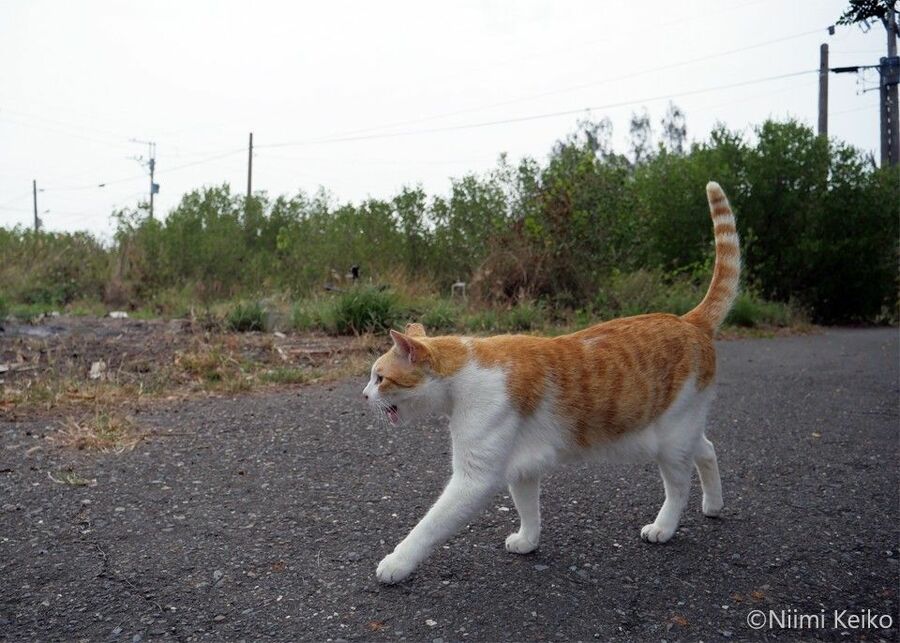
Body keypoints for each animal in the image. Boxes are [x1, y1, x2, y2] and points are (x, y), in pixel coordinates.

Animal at [363, 181, 740, 584]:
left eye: (380, 377)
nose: (364, 394)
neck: (463, 373)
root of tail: (688, 320)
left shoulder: (473, 478)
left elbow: (429, 526)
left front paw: (397, 562)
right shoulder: (522, 465)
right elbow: (528, 507)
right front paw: (528, 540)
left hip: (669, 440)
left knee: (679, 485)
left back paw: (665, 527)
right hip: (683, 431)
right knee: (707, 450)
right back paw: (714, 504)